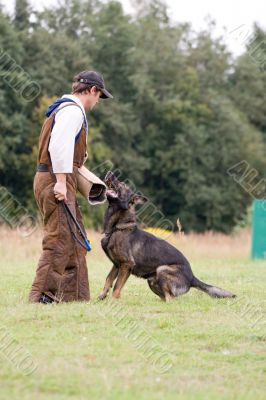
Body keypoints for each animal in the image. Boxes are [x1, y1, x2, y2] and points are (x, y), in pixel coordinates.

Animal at [98, 170, 236, 302]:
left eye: (123, 184)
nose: (109, 172)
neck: (117, 227)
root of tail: (192, 278)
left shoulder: (126, 265)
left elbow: (117, 286)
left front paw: (112, 302)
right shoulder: (117, 265)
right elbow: (108, 279)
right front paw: (101, 297)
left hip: (162, 270)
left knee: (171, 299)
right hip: (152, 281)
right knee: (167, 298)